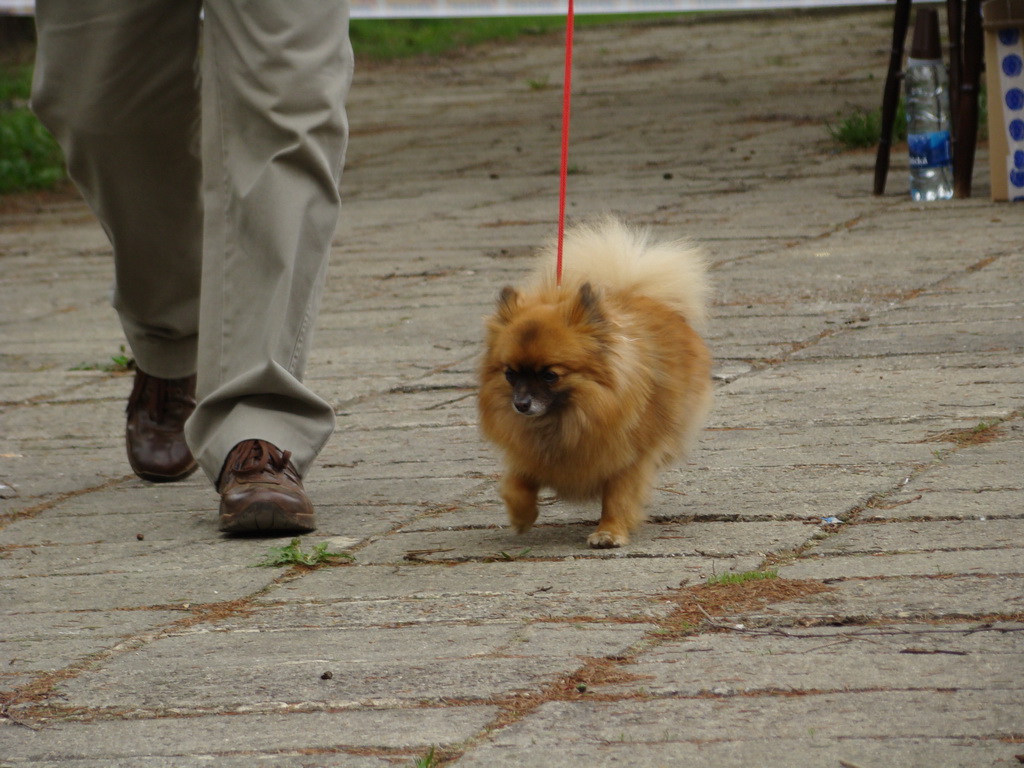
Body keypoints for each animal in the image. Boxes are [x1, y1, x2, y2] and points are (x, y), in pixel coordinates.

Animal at [479, 219, 712, 548]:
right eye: (510, 374)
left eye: (550, 375)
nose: (521, 404)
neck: (564, 419)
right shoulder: (529, 456)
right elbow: (515, 484)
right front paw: (521, 517)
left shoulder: (626, 459)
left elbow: (618, 497)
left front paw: (609, 532)